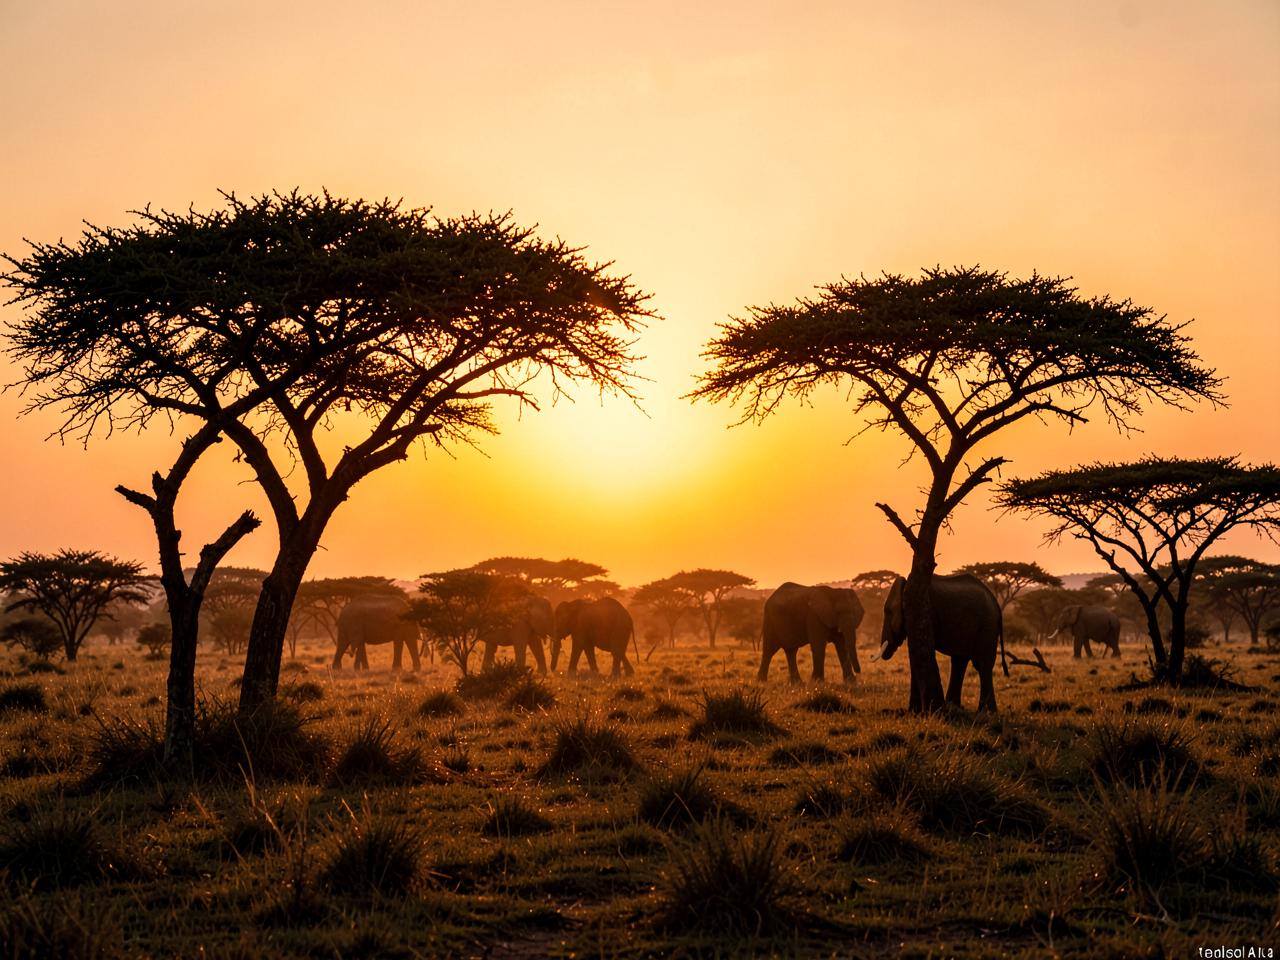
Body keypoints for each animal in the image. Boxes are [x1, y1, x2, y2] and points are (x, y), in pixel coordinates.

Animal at [873, 573, 1006, 712]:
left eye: (888, 611)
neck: (906, 585)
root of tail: (996, 604)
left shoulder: (928, 614)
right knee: (959, 661)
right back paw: (955, 707)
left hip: (988, 624)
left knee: (982, 664)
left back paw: (987, 711)